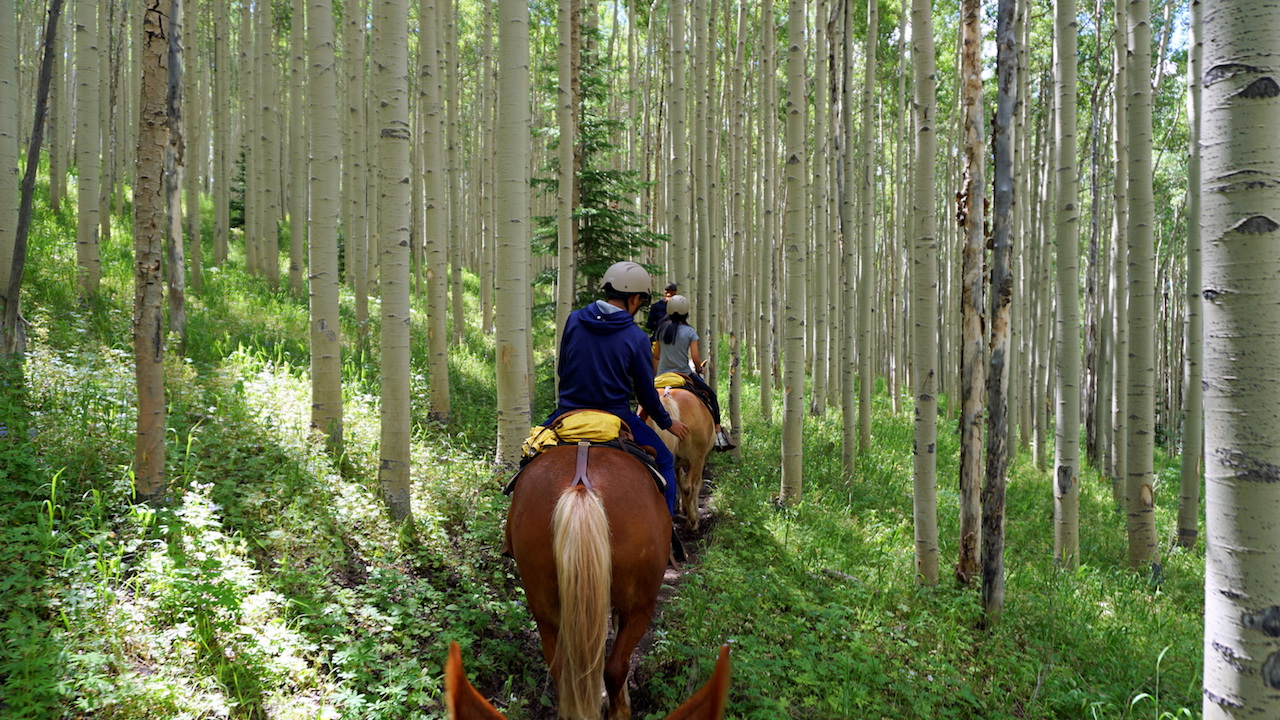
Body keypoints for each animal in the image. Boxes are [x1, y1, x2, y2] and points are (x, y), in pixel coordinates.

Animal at [506, 443, 675, 717]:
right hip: (641, 603)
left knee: (562, 670)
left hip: (543, 605)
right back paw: (620, 712)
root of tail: (580, 486)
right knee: (616, 667)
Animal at [645, 386, 716, 532]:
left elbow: (679, 480)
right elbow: (694, 484)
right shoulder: (699, 461)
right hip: (697, 460)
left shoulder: (677, 463)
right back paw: (692, 522)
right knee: (690, 487)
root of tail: (667, 398)